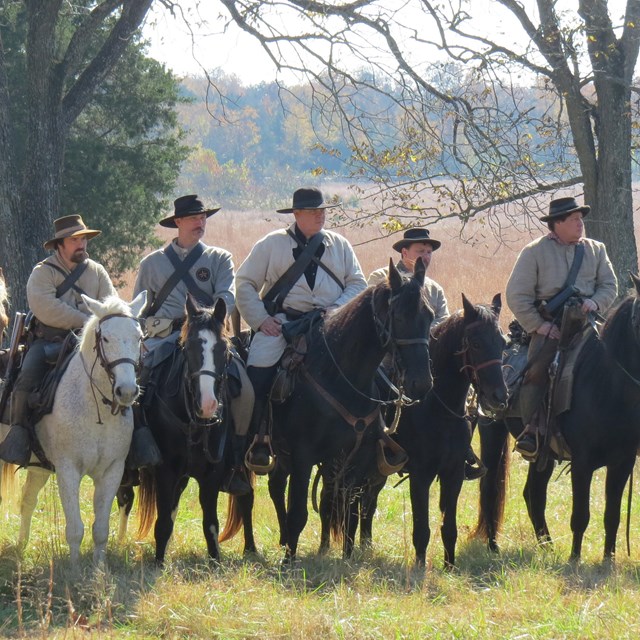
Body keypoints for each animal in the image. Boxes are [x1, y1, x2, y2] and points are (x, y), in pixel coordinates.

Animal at [0, 292, 148, 568]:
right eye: (106, 338)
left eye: (139, 337)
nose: (127, 391)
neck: (95, 409)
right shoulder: (68, 470)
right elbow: (75, 528)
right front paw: (75, 569)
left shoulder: (112, 472)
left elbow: (100, 529)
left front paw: (99, 569)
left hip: (39, 467)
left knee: (27, 501)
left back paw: (22, 545)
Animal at [136, 292, 255, 564]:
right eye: (188, 347)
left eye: (224, 349)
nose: (208, 405)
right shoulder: (166, 470)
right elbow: (163, 521)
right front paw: (159, 562)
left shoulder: (213, 473)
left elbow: (210, 523)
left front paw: (215, 560)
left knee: (246, 498)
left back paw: (251, 549)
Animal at [270, 258, 436, 560]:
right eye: (399, 316)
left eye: (429, 316)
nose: (422, 383)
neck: (340, 375)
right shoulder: (302, 455)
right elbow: (298, 511)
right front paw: (289, 560)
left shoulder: (356, 458)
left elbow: (350, 513)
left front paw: (347, 557)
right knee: (276, 489)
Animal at [358, 292, 508, 568]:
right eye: (476, 343)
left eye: (503, 343)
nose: (499, 397)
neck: (439, 408)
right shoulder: (420, 475)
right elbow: (422, 528)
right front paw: (420, 566)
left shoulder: (454, 474)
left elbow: (449, 528)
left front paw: (450, 566)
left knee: (368, 502)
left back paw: (366, 545)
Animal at [476, 276, 640, 560]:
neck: (609, 386)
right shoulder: (583, 463)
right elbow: (581, 515)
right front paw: (575, 558)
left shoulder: (622, 463)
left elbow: (612, 516)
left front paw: (608, 560)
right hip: (492, 435)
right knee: (490, 489)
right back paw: (494, 546)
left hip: (542, 454)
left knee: (533, 493)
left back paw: (547, 546)